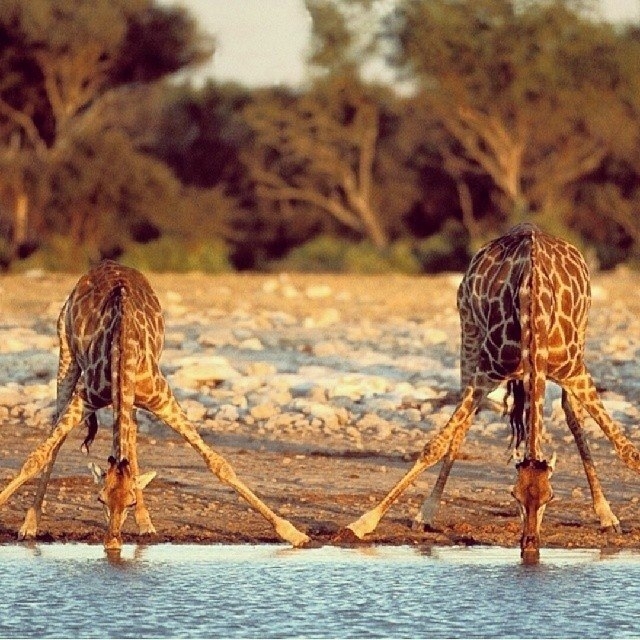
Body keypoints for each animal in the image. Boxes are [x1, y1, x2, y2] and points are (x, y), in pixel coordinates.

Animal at [0, 260, 310, 550]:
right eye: (99, 499)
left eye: (129, 502)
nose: (112, 543)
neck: (123, 350)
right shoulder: (85, 397)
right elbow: (36, 457)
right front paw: (24, 522)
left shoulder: (163, 399)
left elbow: (219, 464)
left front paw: (294, 533)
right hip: (66, 352)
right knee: (57, 432)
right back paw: (31, 524)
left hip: (128, 398)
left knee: (132, 436)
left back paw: (146, 524)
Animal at [337, 223, 640, 559]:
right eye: (514, 495)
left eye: (550, 497)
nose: (530, 546)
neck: (535, 314)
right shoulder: (486, 374)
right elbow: (434, 446)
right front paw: (363, 522)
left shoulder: (575, 372)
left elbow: (628, 452)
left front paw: (609, 516)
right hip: (468, 332)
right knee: (461, 424)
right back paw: (426, 513)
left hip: (581, 338)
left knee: (572, 416)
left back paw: (606, 515)